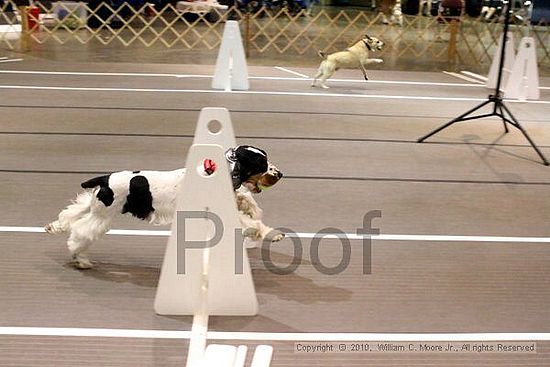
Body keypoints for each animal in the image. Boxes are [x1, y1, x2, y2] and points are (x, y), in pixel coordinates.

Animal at [46, 146, 284, 270]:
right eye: (261, 163)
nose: (280, 173)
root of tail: (105, 178)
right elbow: (250, 222)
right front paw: (273, 234)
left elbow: (245, 203)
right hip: (103, 214)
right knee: (81, 231)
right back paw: (81, 259)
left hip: (96, 205)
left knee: (73, 213)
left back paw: (53, 228)